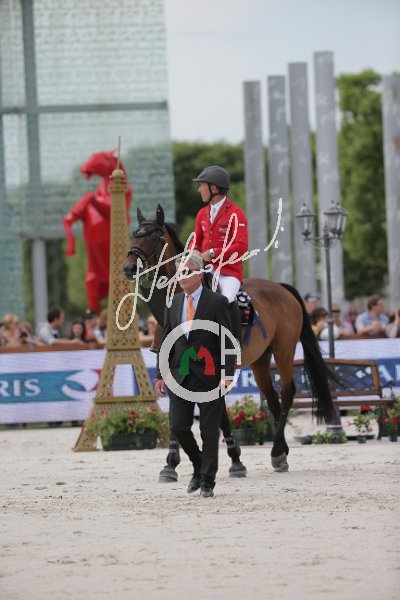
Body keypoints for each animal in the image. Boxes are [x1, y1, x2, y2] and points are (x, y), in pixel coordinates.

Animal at [123, 204, 335, 477]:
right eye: (134, 235)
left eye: (155, 236)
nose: (129, 267)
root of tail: (280, 287)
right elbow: (178, 415)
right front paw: (171, 463)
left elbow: (218, 414)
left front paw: (235, 459)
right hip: (261, 361)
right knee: (273, 399)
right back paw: (282, 451)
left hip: (284, 350)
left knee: (288, 392)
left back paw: (277, 451)